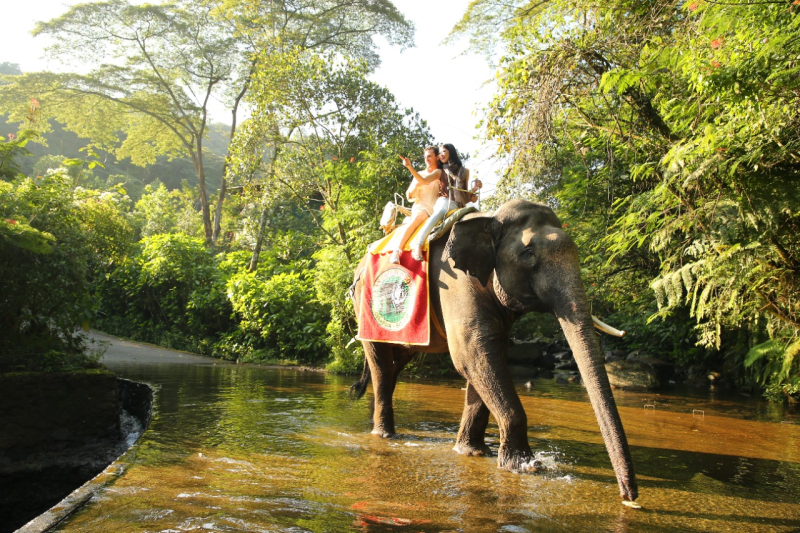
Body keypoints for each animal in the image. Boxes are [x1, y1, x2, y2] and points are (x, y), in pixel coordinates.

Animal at [350, 200, 636, 502]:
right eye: (528, 254)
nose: (629, 497)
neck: (491, 219)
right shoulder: (455, 283)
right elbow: (472, 353)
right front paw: (526, 465)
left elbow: (485, 356)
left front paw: (471, 452)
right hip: (363, 306)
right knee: (381, 361)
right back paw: (384, 435)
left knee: (397, 362)